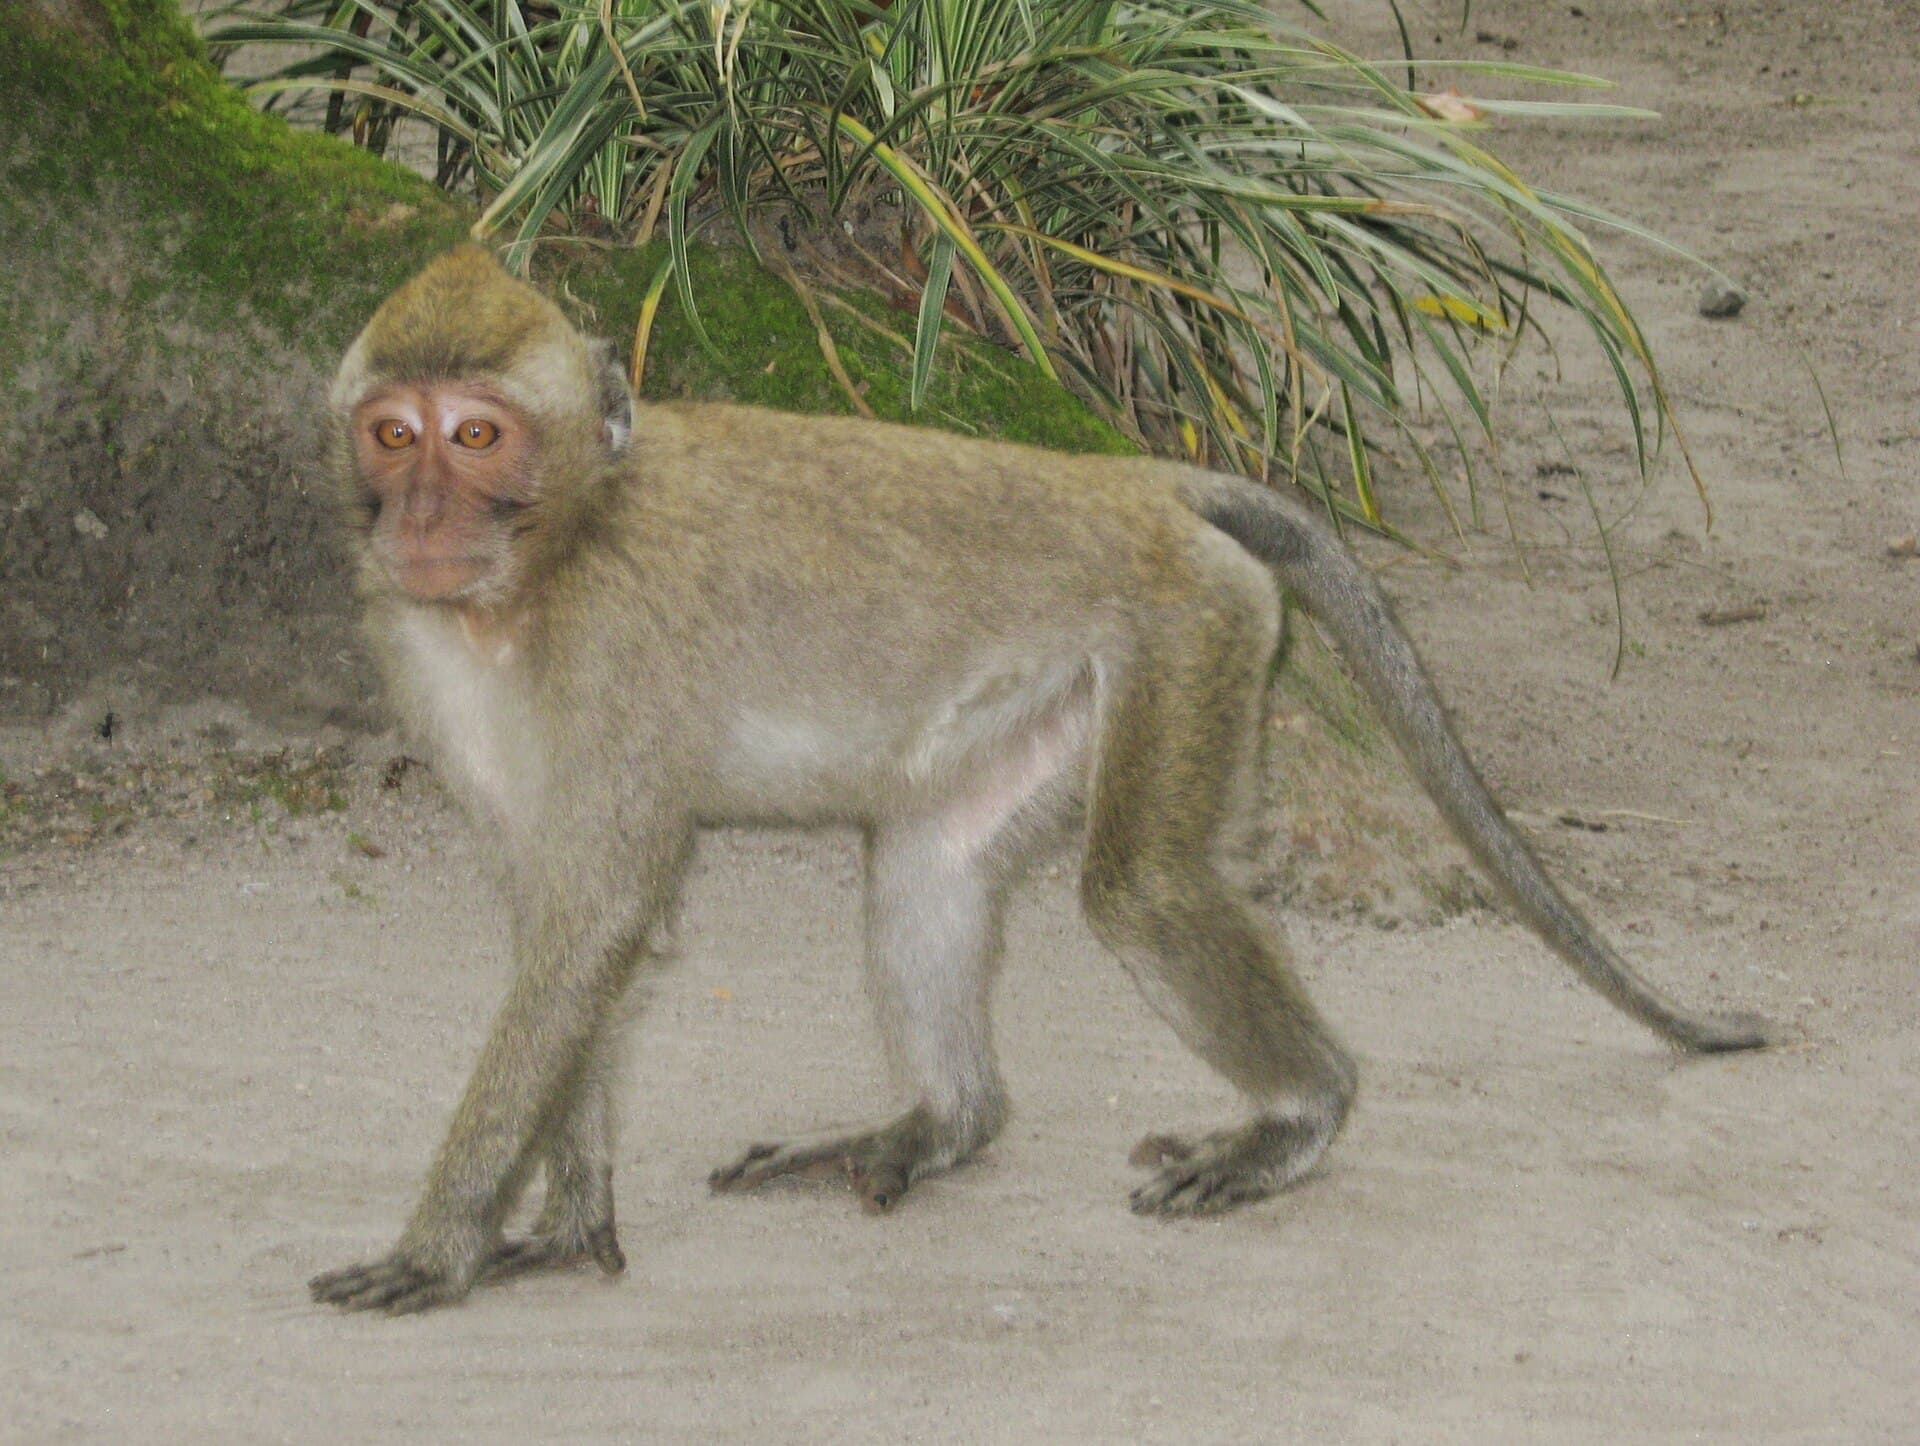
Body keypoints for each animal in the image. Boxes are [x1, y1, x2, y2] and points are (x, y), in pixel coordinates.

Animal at [308, 245, 1767, 1315]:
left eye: (477, 437)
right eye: (394, 436)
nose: (422, 517)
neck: (536, 572)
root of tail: (1127, 480)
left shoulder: (611, 650)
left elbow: (596, 924)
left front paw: (439, 1247)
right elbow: (573, 932)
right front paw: (566, 1219)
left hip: (1190, 624)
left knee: (1141, 888)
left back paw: (1296, 1117)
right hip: (1060, 692)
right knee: (927, 862)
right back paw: (942, 1122)